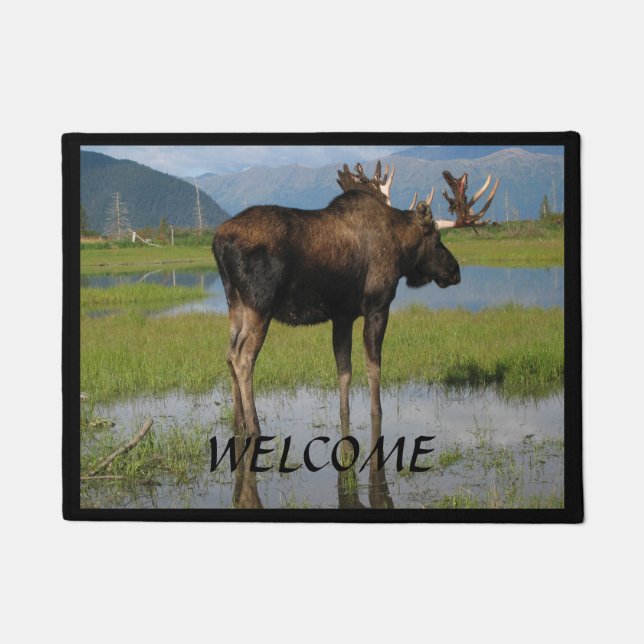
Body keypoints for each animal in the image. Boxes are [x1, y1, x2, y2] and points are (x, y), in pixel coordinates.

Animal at [212, 162, 499, 436]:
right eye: (437, 239)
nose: (455, 271)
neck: (401, 250)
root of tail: (218, 242)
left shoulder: (342, 316)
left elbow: (344, 371)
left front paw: (344, 415)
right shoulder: (377, 306)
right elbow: (374, 367)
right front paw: (377, 412)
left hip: (235, 303)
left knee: (229, 352)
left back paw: (238, 422)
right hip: (260, 305)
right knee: (243, 358)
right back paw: (254, 425)